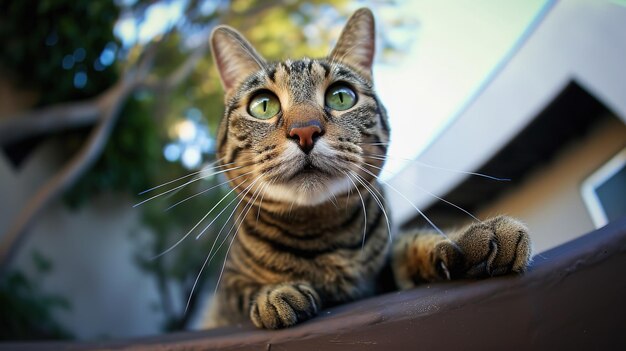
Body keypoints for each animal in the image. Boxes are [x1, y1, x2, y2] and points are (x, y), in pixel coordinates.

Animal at [202, 8, 528, 332]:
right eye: (263, 105)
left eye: (341, 96)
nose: (305, 131)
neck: (321, 234)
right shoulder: (224, 299)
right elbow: (241, 290)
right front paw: (273, 293)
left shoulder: (383, 275)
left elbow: (411, 243)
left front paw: (465, 239)